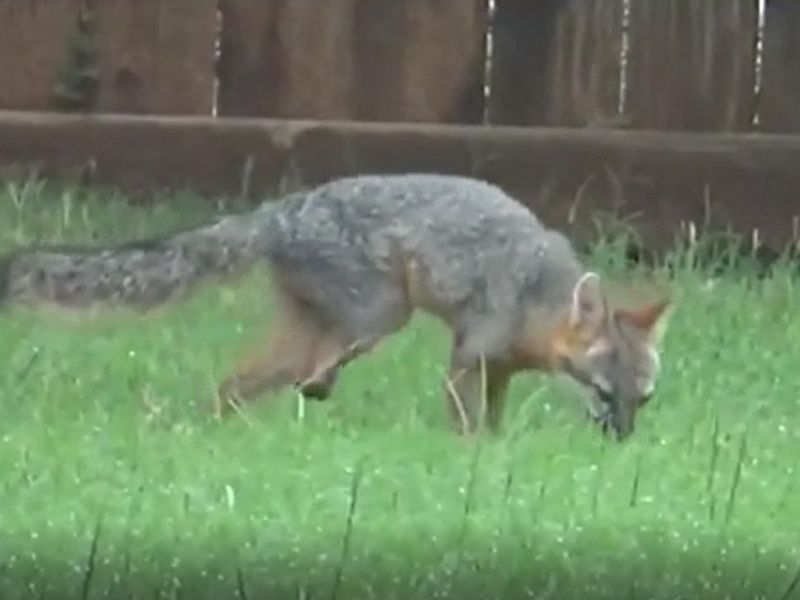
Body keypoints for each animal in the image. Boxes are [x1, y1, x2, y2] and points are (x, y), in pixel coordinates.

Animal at [0, 174, 671, 440]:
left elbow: (495, 419)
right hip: (380, 317)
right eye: (604, 392)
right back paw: (313, 391)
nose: (622, 440)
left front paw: (499, 447)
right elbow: (464, 422)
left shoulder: (499, 368)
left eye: (642, 399)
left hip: (325, 329)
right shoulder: (468, 357)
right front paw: (471, 457)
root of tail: (282, 210)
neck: (539, 294)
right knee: (309, 371)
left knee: (233, 385)